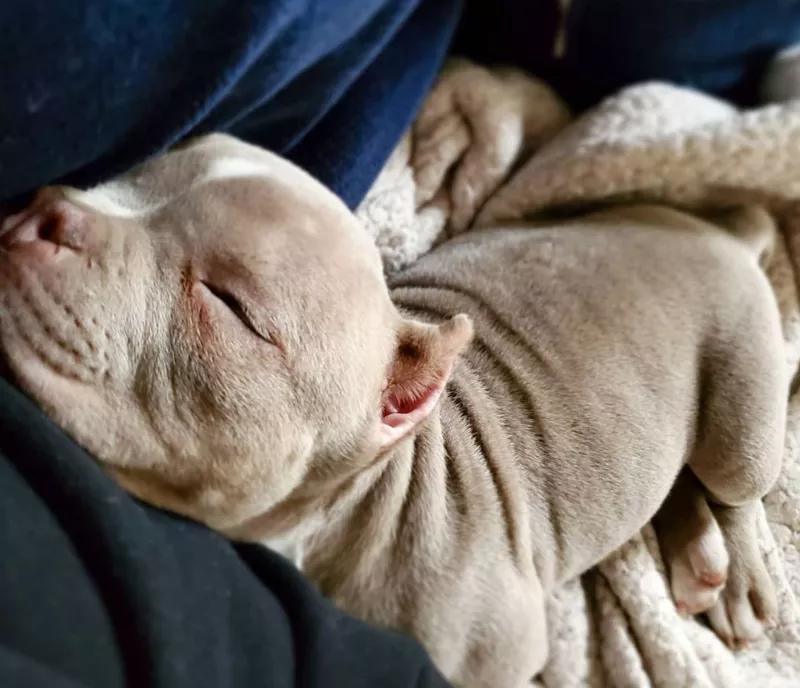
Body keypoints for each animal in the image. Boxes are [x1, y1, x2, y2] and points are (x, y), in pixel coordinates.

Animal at [0, 134, 788, 688]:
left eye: (231, 304)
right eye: (114, 180)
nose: (43, 213)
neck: (357, 504)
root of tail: (718, 234)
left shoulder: (498, 651)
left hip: (742, 404)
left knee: (734, 483)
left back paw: (740, 575)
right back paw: (697, 555)